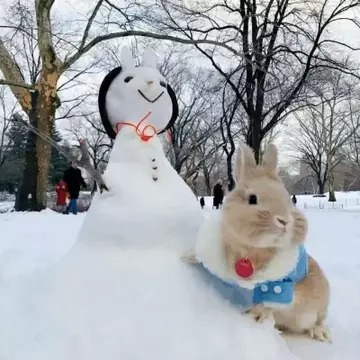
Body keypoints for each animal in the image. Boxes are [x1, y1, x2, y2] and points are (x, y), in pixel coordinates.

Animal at [183, 143, 332, 344]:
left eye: (287, 198)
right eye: (252, 199)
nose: (285, 221)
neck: (250, 249)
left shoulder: (280, 284)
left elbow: (267, 302)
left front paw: (254, 315)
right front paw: (186, 256)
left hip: (319, 305)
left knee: (318, 321)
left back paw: (320, 334)